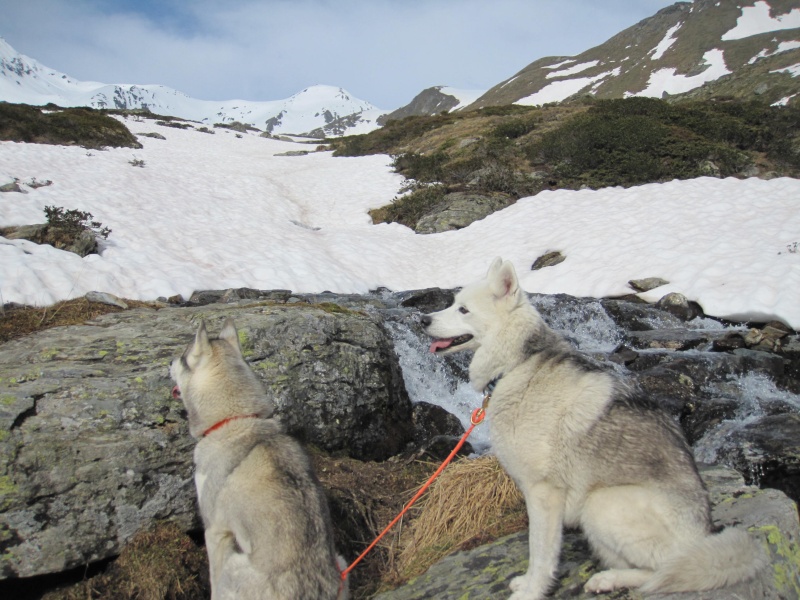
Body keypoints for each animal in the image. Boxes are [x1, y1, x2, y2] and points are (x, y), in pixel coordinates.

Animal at [170, 318, 346, 600]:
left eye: (184, 357)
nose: (169, 362)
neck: (234, 419)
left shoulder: (214, 530)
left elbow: (212, 578)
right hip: (340, 563)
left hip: (233, 565)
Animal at [418, 258, 764, 600]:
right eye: (452, 303)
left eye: (463, 310)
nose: (422, 319)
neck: (518, 364)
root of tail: (704, 537)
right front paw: (527, 583)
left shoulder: (544, 493)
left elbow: (540, 552)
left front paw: (532, 590)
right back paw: (608, 579)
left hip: (600, 505)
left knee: (663, 572)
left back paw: (612, 578)